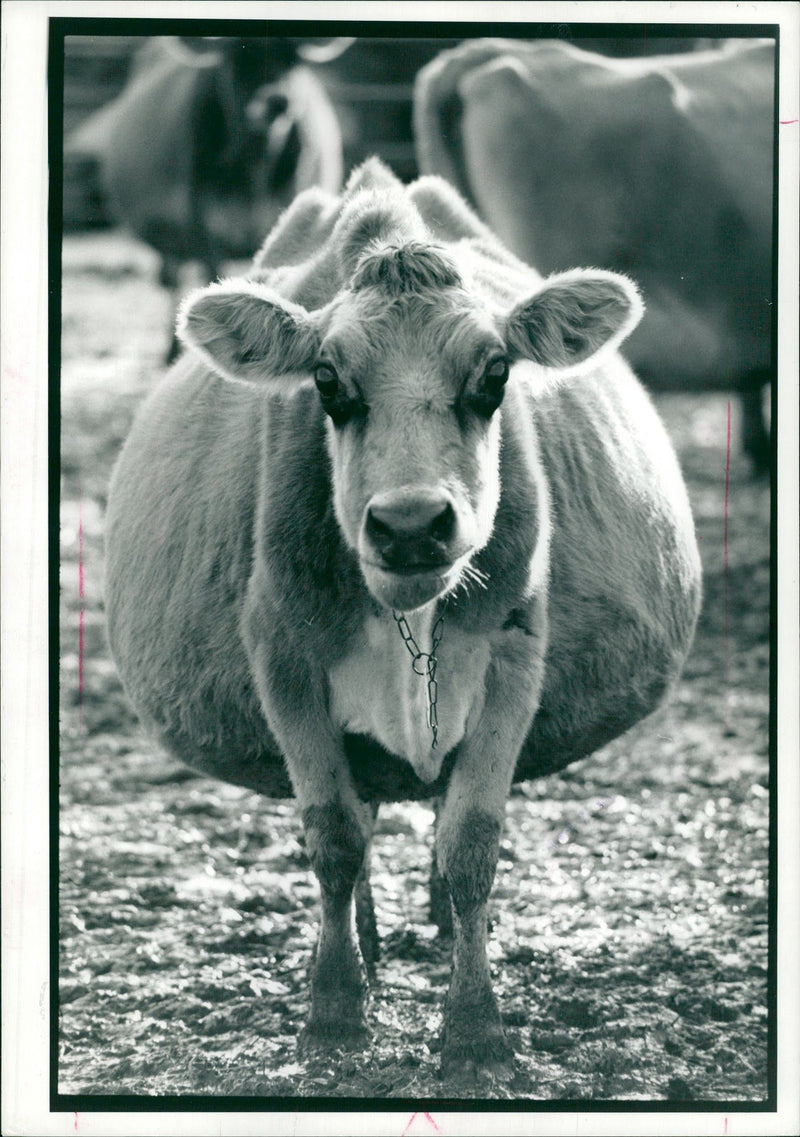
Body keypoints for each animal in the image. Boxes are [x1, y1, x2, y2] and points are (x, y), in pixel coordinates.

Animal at [67, 35, 343, 357]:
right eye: (235, 61)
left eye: (292, 60)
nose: (277, 100)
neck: (254, 171)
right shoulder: (204, 227)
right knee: (173, 277)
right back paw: (172, 349)